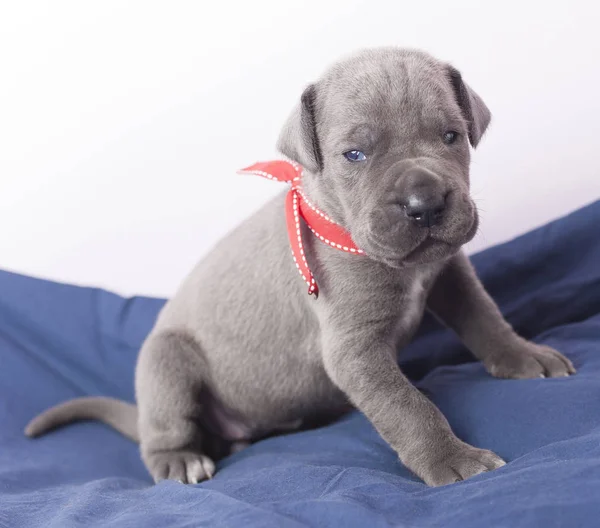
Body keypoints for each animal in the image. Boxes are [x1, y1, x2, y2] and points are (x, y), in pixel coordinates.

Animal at [25, 48, 576, 486]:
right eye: (354, 154)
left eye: (451, 136)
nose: (425, 204)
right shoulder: (353, 350)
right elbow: (408, 407)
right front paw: (451, 459)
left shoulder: (449, 274)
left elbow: (485, 317)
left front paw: (524, 356)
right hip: (165, 363)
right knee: (163, 433)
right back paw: (180, 461)